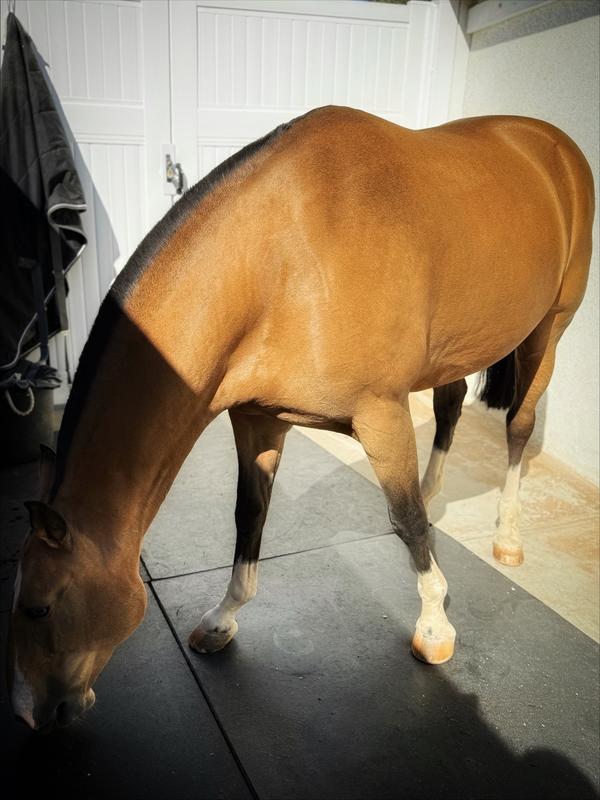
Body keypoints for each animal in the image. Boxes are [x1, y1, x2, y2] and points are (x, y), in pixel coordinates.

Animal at [8, 106, 594, 732]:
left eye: (39, 607)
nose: (31, 715)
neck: (284, 260)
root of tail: (554, 144)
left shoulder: (381, 414)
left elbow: (406, 520)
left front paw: (435, 625)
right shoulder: (258, 420)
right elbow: (249, 516)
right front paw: (223, 617)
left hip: (550, 328)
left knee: (518, 428)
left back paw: (507, 536)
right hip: (455, 349)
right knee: (450, 401)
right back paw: (437, 488)